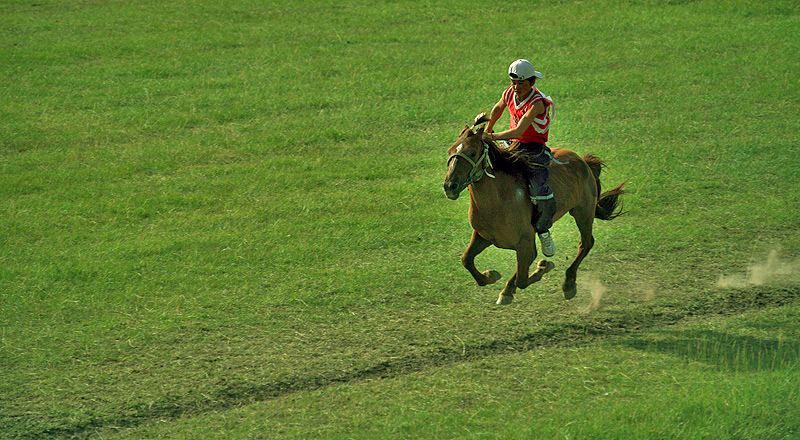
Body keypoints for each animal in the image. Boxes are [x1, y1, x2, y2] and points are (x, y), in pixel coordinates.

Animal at [444, 121, 624, 306]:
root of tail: (584, 161)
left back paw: (569, 284)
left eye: (472, 153)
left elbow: (522, 279)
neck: (499, 199)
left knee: (586, 243)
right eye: (450, 151)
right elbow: (466, 259)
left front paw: (543, 267)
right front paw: (490, 276)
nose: (450, 186)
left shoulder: (524, 241)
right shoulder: (484, 236)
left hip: (583, 213)